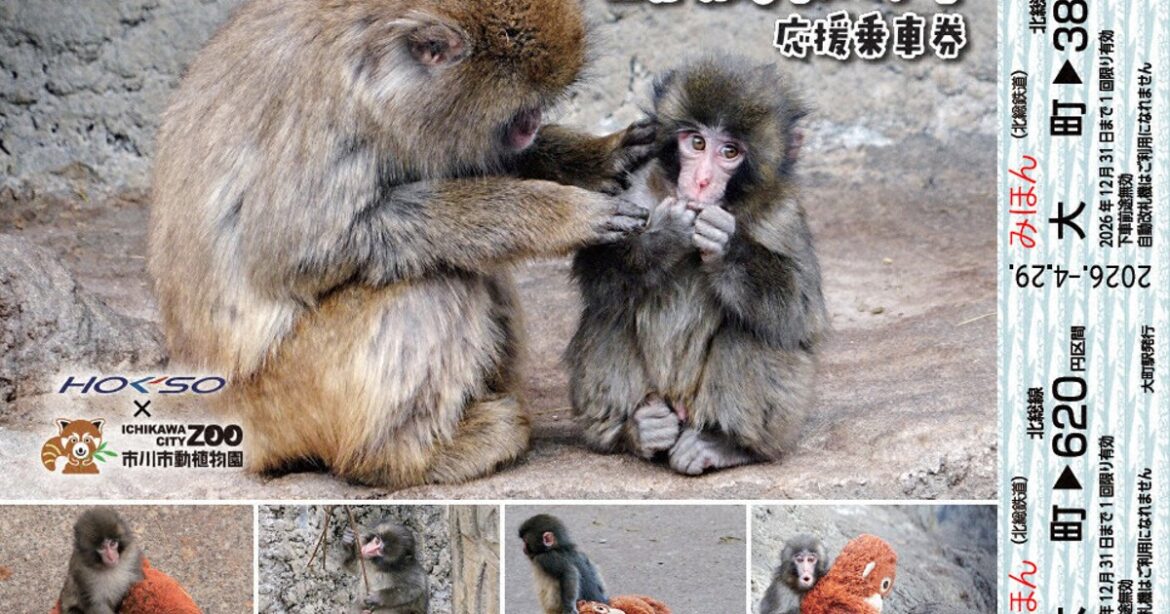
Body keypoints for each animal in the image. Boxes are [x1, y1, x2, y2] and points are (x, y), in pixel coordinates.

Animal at [148, 0, 655, 488]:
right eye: (522, 106)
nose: (530, 126)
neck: (374, 70)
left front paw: (598, 158)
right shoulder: (323, 117)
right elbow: (301, 250)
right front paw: (562, 214)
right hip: (283, 396)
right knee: (431, 286)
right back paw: (404, 458)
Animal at [567, 55, 828, 475]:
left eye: (730, 152)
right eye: (697, 142)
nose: (702, 181)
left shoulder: (783, 211)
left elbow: (802, 315)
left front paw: (726, 247)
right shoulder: (636, 182)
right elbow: (595, 270)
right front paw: (667, 236)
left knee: (754, 328)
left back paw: (724, 443)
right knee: (609, 310)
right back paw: (636, 430)